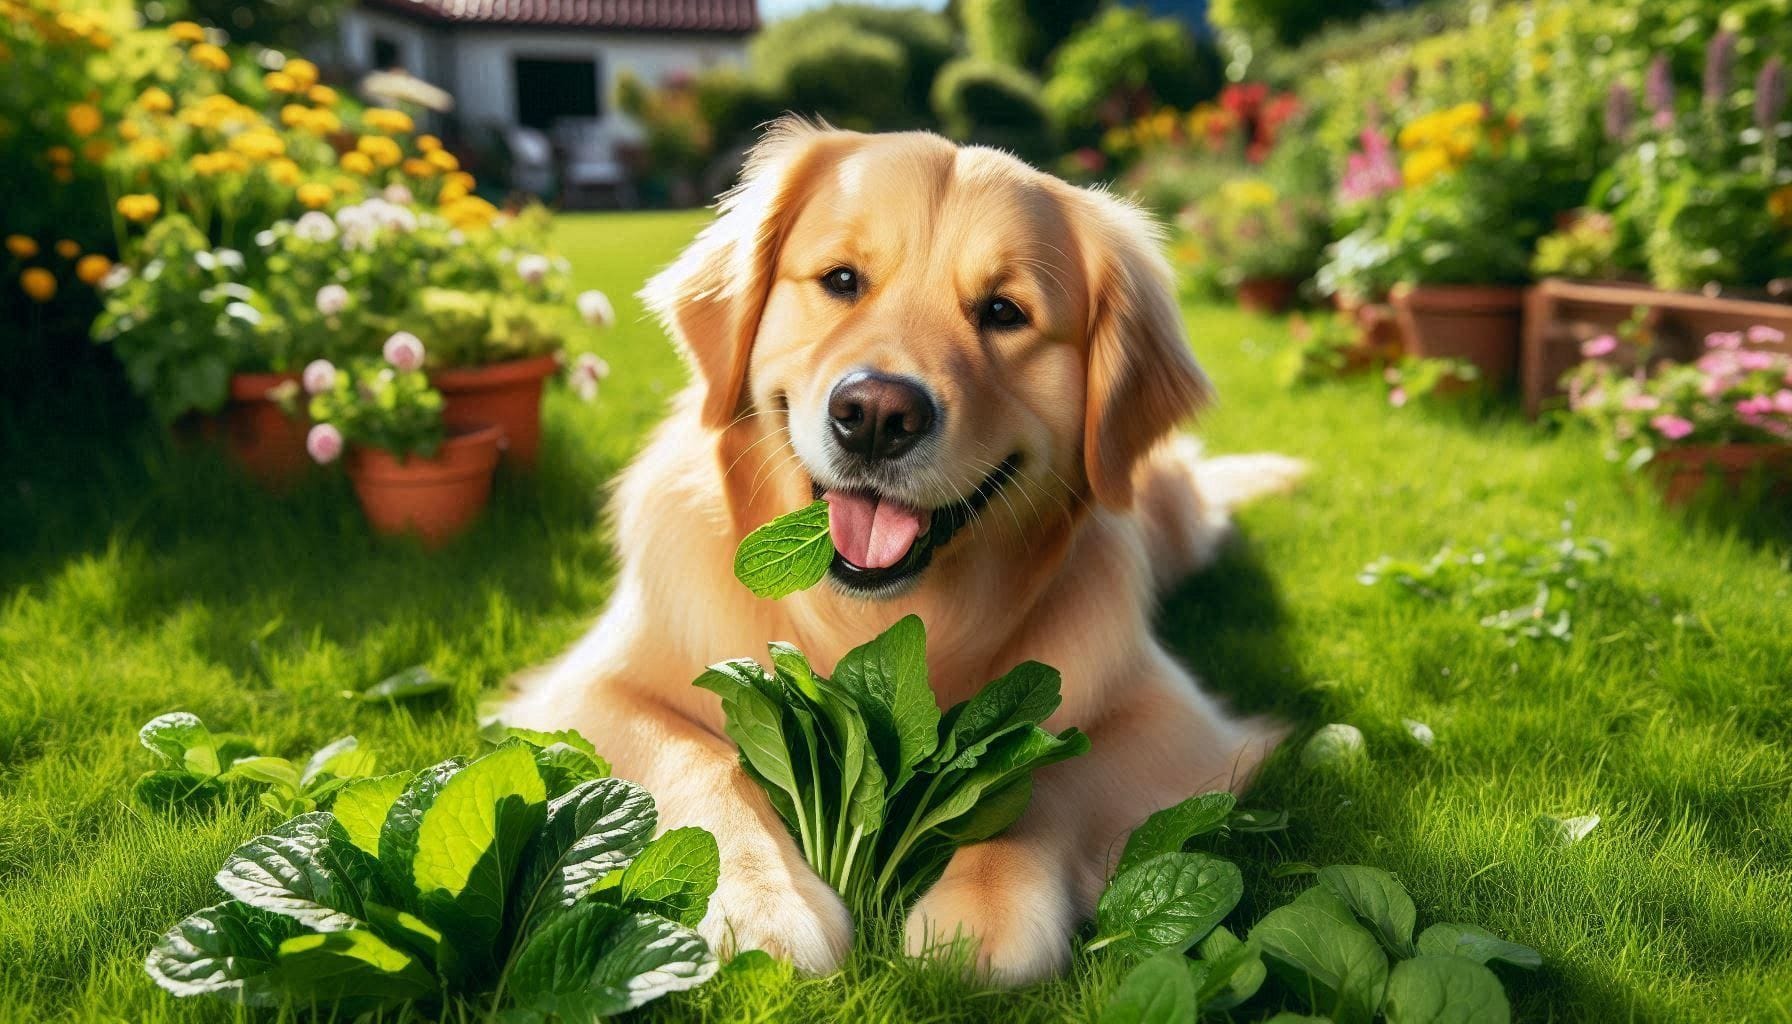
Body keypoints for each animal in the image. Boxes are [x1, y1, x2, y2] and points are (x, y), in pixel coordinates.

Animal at [505, 118, 1304, 982]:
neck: (863, 618)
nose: (878, 415)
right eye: (841, 279)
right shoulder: (587, 690)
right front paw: (761, 897)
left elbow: (1042, 766)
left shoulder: (1176, 719)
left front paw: (984, 907)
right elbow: (696, 755)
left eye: (1004, 311)